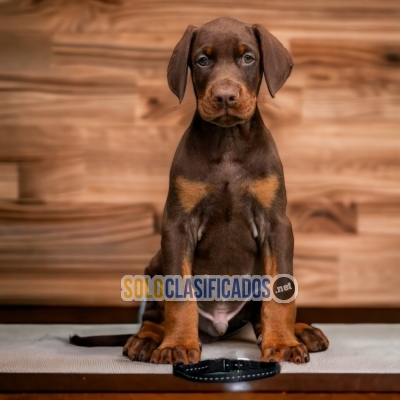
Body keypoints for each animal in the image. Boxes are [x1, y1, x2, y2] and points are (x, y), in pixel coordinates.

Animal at [71, 17, 328, 364]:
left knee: (260, 314)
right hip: (154, 264)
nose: (225, 96)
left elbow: (280, 293)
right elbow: (180, 296)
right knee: (153, 315)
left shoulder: (276, 224)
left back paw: (301, 331)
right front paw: (177, 344)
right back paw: (147, 339)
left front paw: (283, 343)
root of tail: (220, 325)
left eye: (248, 58)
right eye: (203, 60)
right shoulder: (178, 227)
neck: (228, 141)